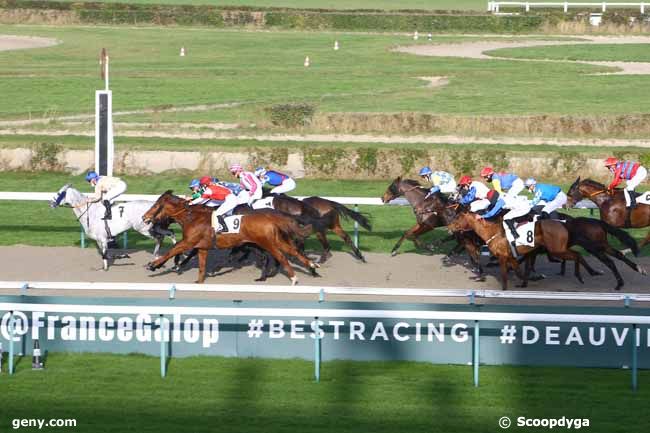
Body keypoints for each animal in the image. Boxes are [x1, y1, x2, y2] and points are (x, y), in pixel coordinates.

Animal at [145, 192, 322, 286]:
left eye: (156, 206)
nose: (145, 217)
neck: (192, 217)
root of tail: (271, 216)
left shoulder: (188, 242)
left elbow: (172, 251)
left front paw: (153, 265)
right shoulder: (202, 247)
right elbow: (201, 266)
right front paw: (198, 281)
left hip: (267, 243)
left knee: (281, 257)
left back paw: (294, 278)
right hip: (275, 240)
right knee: (293, 251)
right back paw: (312, 265)